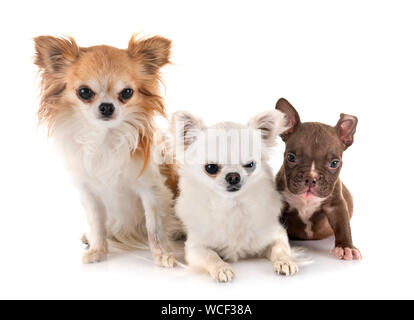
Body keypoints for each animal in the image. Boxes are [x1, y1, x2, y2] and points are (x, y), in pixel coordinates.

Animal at [33, 35, 180, 266]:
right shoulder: (89, 194)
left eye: (127, 93)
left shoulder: (152, 190)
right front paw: (98, 250)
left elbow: (154, 227)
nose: (107, 106)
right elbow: (97, 225)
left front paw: (162, 254)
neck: (106, 137)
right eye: (84, 92)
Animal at [171, 110, 298, 282]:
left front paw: (285, 261)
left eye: (250, 165)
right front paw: (221, 268)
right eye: (210, 168)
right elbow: (211, 256)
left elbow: (281, 248)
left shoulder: (276, 234)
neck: (231, 205)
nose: (233, 176)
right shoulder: (195, 247)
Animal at [274, 99, 360, 262]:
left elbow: (343, 225)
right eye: (291, 157)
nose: (310, 177)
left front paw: (346, 247)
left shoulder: (336, 206)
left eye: (334, 163)